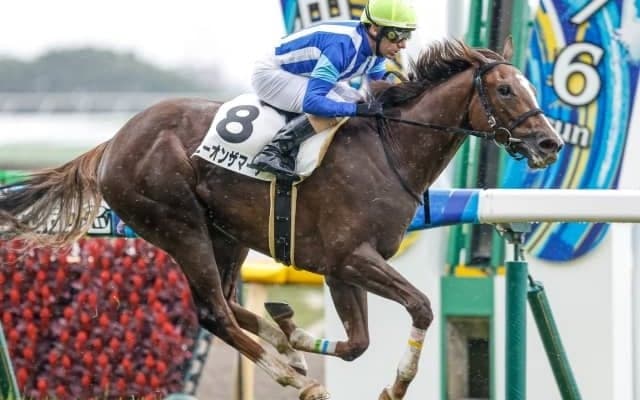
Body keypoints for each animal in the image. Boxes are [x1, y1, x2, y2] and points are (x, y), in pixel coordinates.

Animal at [0, 38, 562, 400]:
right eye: (507, 90)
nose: (549, 143)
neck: (390, 150)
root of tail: (115, 140)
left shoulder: (341, 269)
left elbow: (357, 344)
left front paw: (299, 336)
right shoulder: (351, 257)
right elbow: (420, 306)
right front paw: (396, 383)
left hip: (225, 234)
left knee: (230, 303)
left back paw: (288, 345)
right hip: (180, 225)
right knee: (214, 313)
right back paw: (295, 376)